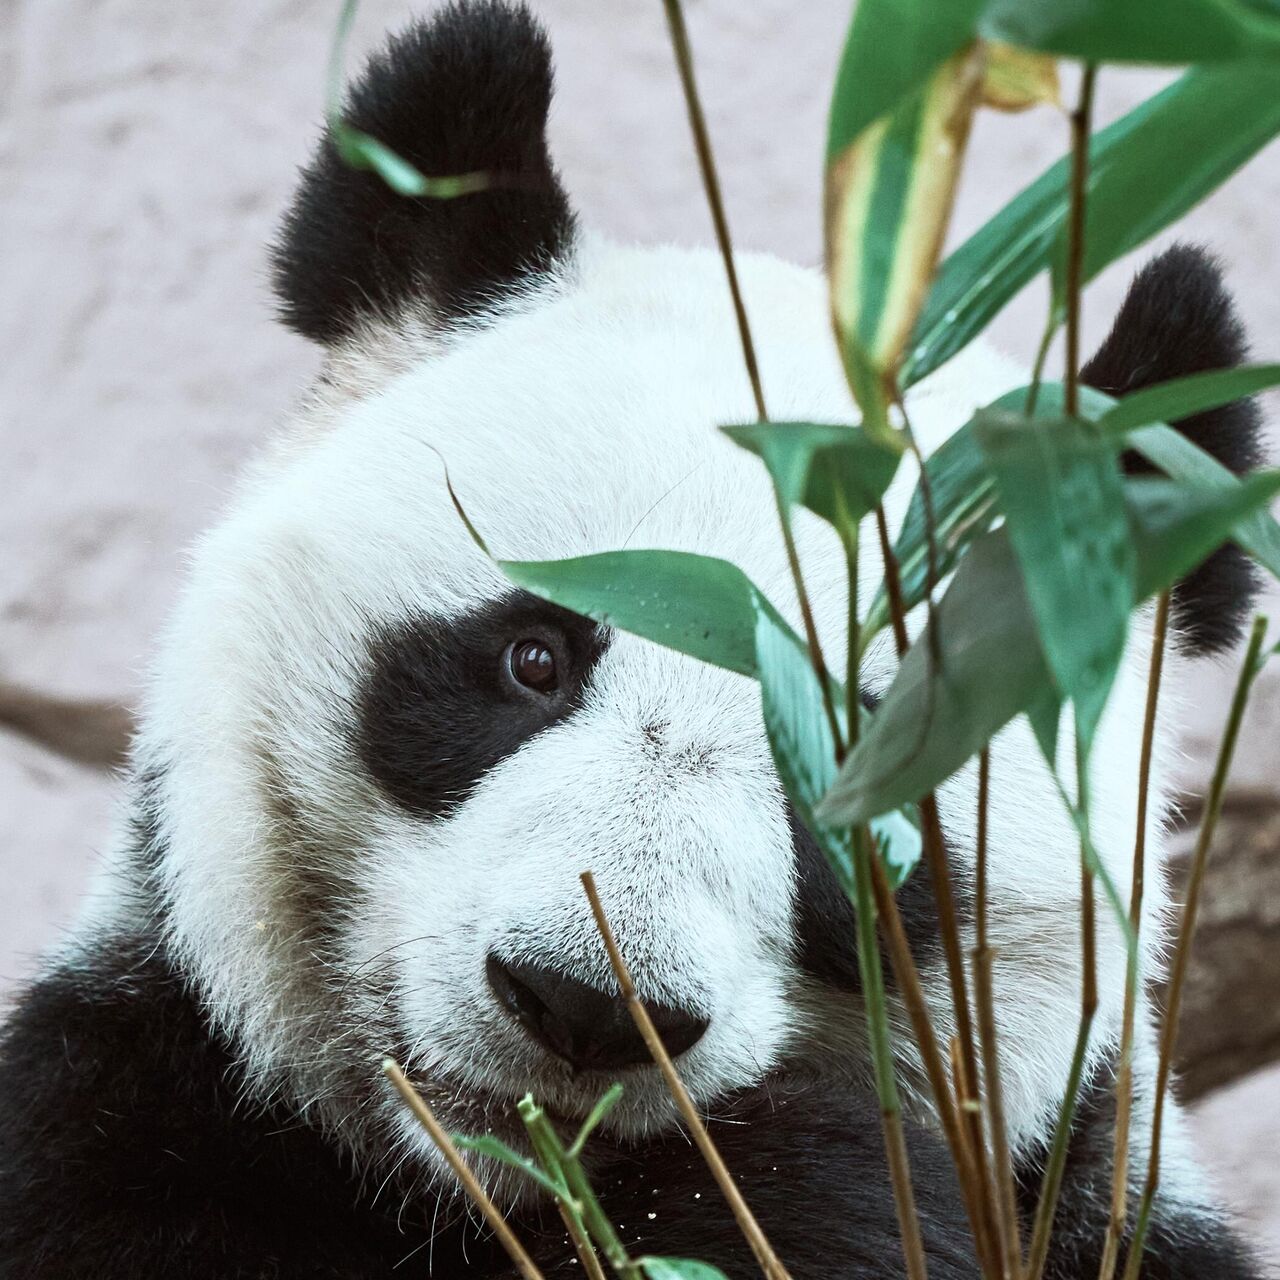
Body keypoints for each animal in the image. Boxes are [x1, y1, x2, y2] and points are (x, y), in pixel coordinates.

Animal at [2, 5, 1269, 1274]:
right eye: (533, 656)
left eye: (861, 764)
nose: (585, 1005)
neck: (497, 1195)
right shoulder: (141, 1100)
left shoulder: (1102, 1190)